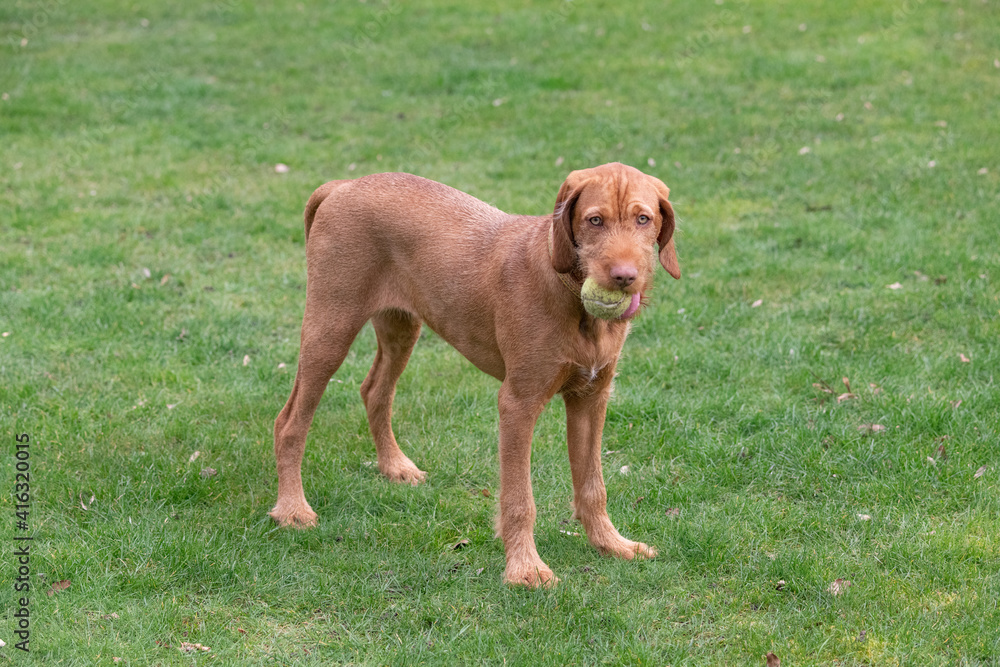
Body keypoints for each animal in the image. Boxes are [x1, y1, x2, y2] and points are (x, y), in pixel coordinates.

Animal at [272, 163, 680, 588]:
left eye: (643, 219)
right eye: (594, 220)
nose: (624, 277)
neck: (571, 297)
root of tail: (343, 184)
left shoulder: (591, 397)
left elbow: (592, 486)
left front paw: (611, 543)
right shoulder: (518, 403)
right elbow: (519, 499)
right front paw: (525, 568)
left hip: (402, 326)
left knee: (374, 391)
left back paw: (394, 466)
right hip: (330, 329)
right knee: (290, 422)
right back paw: (292, 509)